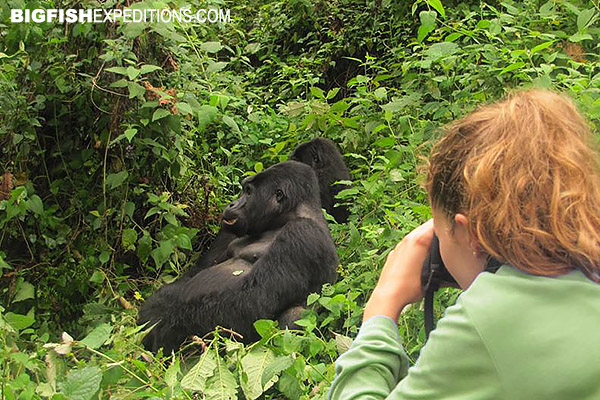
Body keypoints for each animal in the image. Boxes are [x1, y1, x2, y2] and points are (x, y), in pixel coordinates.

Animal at [138, 161, 340, 352]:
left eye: (248, 192)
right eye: (244, 189)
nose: (231, 204)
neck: (286, 217)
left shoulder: (302, 234)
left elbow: (254, 301)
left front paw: (169, 326)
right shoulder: (230, 231)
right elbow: (193, 274)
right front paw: (156, 308)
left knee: (293, 316)